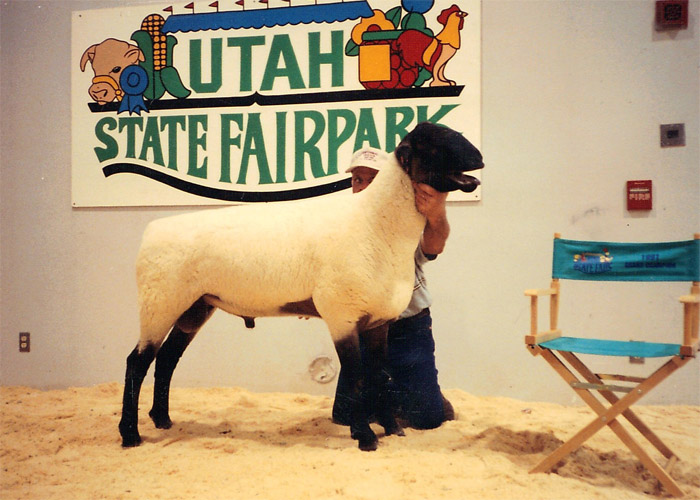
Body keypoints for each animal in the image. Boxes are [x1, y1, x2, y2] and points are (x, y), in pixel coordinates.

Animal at [119, 121, 484, 451]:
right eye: (434, 143)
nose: (479, 157)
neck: (375, 223)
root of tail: (152, 230)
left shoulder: (379, 320)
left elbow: (380, 375)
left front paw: (392, 429)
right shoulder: (341, 314)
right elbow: (357, 376)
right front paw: (365, 437)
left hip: (195, 306)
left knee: (166, 360)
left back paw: (163, 420)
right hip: (159, 302)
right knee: (137, 362)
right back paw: (131, 435)